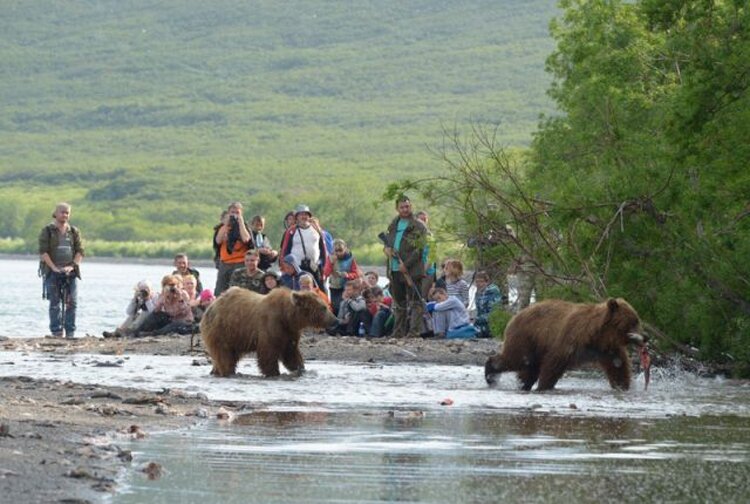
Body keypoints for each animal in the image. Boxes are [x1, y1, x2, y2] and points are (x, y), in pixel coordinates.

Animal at [201, 288, 340, 378]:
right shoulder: (271, 325)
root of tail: (211, 306)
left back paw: (215, 371)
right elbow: (268, 352)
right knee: (224, 355)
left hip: (233, 335)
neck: (287, 317)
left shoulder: (289, 332)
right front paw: (273, 373)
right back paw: (227, 371)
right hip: (223, 330)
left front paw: (300, 368)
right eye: (324, 307)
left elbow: (291, 353)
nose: (336, 320)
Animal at [484, 298, 648, 392]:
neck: (598, 335)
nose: (646, 337)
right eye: (633, 322)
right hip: (526, 337)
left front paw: (622, 386)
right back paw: (490, 374)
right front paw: (544, 386)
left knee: (529, 367)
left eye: (637, 320)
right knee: (516, 359)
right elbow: (553, 363)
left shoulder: (606, 349)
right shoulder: (570, 340)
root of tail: (515, 315)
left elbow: (618, 366)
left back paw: (523, 384)